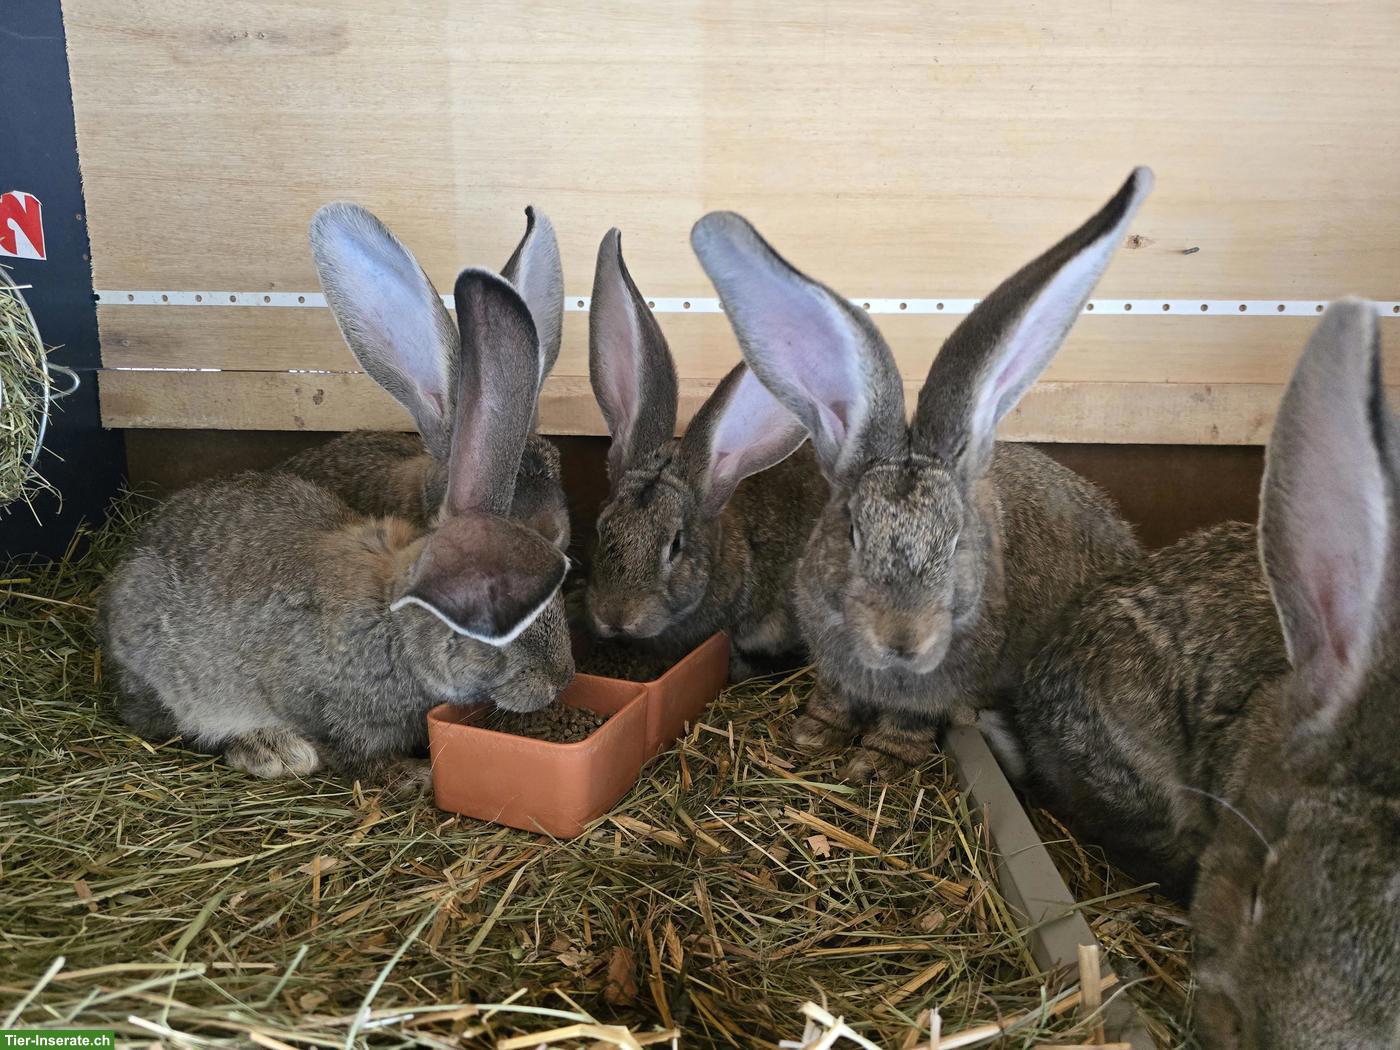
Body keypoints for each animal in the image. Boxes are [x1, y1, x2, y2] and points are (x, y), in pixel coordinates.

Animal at [690, 169, 1150, 782]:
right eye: (853, 533)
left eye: (956, 542)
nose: (902, 640)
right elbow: (835, 699)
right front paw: (812, 735)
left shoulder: (936, 689)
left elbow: (907, 723)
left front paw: (873, 764)